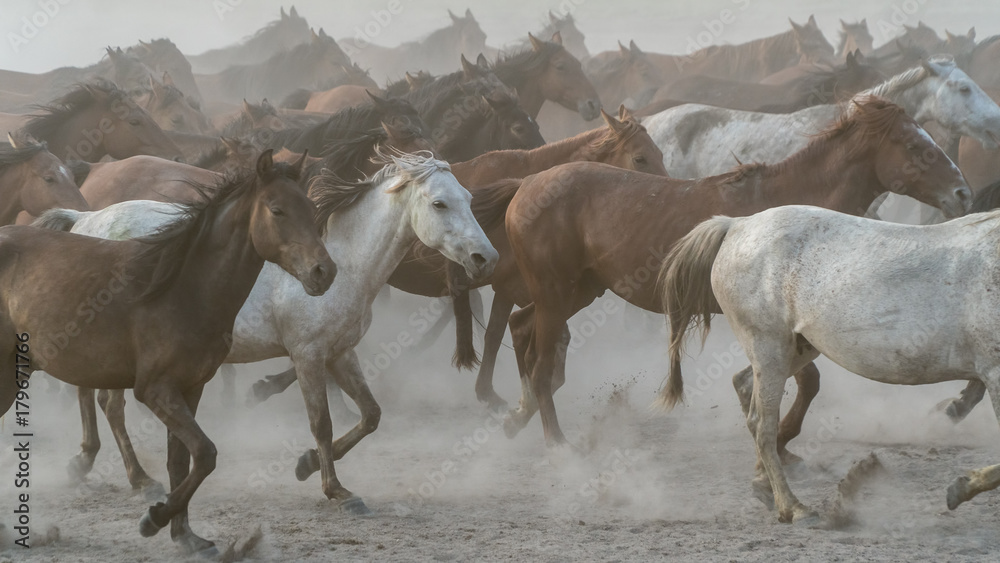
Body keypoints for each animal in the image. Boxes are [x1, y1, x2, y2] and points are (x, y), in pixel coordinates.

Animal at [1, 150, 335, 555]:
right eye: (277, 210)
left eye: (310, 207)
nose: (324, 271)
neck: (182, 288)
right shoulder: (156, 390)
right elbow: (205, 454)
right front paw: (154, 519)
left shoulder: (190, 389)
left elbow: (181, 462)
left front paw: (185, 535)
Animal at [36, 149, 497, 518]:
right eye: (439, 203)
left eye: (469, 199)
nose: (485, 258)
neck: (346, 262)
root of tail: (87, 219)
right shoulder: (308, 355)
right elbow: (322, 422)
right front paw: (337, 490)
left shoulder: (340, 353)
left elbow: (370, 415)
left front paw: (307, 464)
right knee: (108, 405)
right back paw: (137, 478)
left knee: (95, 398)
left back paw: (94, 465)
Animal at [500, 99, 970, 448]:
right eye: (913, 145)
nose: (963, 192)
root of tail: (526, 186)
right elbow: (808, 381)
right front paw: (780, 436)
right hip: (557, 292)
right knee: (540, 365)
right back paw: (557, 444)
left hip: (578, 290)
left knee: (521, 328)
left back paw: (515, 417)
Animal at [659, 203, 1000, 523]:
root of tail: (736, 225)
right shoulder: (994, 372)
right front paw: (960, 488)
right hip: (769, 347)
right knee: (761, 423)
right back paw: (793, 508)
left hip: (794, 349)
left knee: (743, 385)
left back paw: (764, 484)